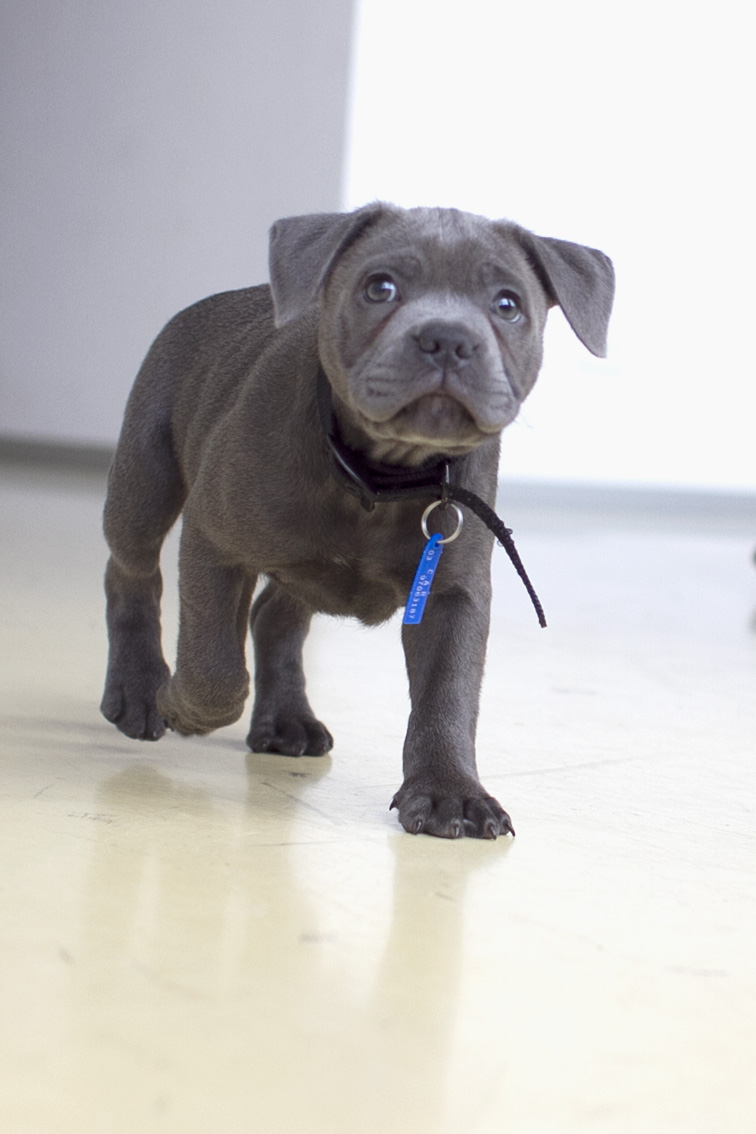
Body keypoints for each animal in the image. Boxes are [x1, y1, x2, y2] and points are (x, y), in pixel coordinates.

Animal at [100, 206, 616, 843]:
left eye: (507, 304)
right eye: (379, 288)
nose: (448, 338)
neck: (382, 472)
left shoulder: (451, 593)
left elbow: (447, 695)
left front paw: (450, 792)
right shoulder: (214, 539)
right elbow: (214, 669)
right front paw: (179, 704)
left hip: (302, 569)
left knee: (273, 616)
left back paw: (287, 720)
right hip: (145, 480)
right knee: (131, 574)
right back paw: (136, 690)